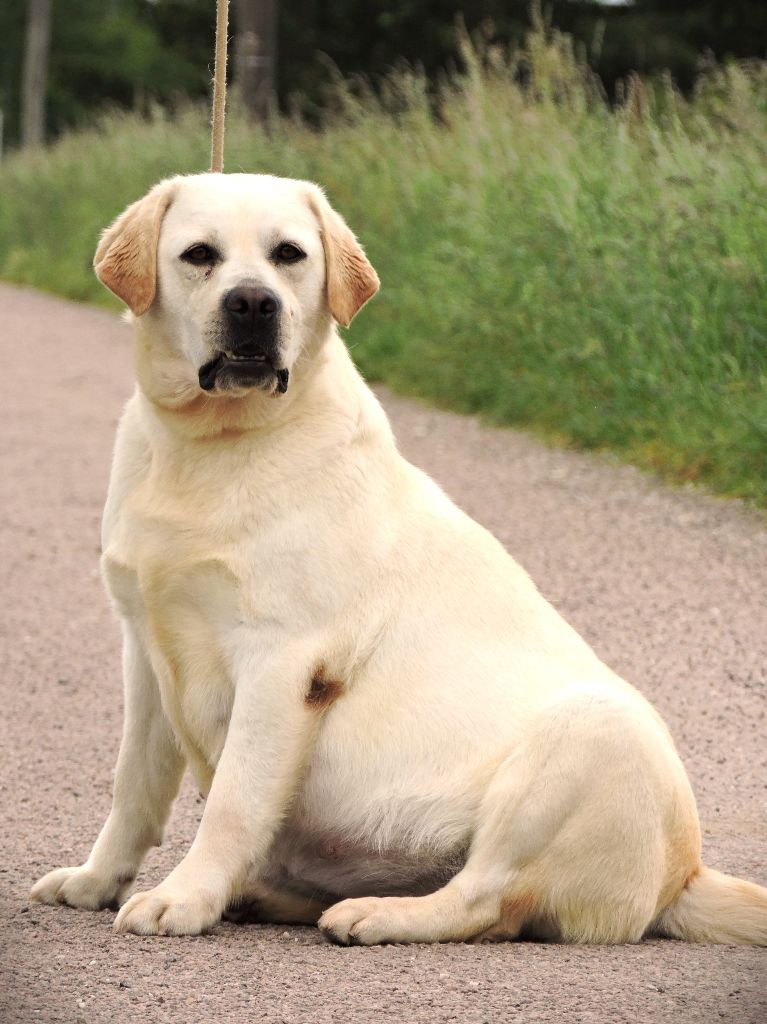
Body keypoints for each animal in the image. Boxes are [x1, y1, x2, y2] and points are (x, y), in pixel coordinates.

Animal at [33, 174, 761, 942]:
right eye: (199, 255)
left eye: (288, 255)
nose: (254, 303)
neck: (207, 448)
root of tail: (682, 876)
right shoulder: (144, 649)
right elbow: (133, 788)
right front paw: (95, 882)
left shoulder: (282, 661)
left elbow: (233, 800)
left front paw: (185, 897)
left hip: (593, 728)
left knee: (481, 899)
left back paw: (373, 913)